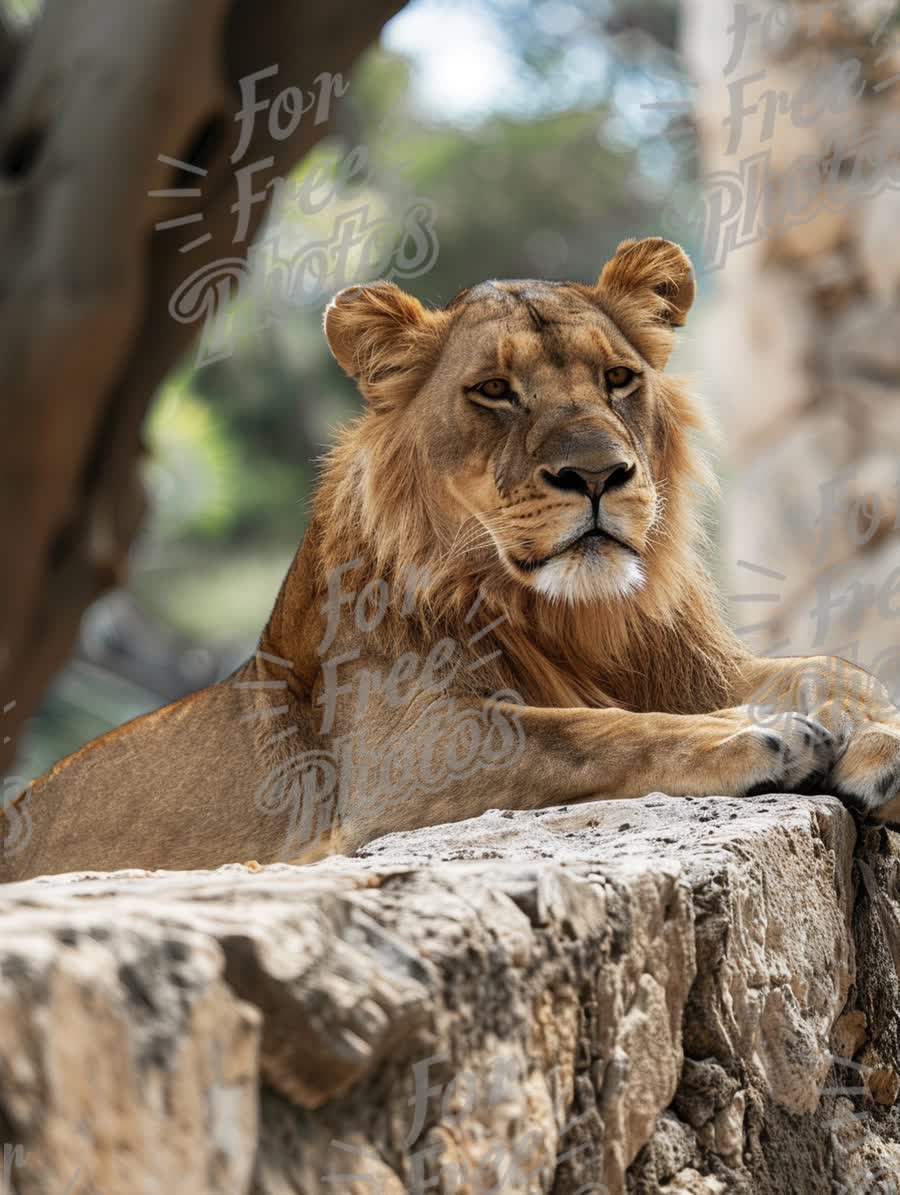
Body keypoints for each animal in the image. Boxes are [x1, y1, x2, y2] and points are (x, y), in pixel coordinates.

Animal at [1, 237, 898, 884]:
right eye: (495, 390)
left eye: (617, 378)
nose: (599, 475)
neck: (572, 619)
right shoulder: (406, 755)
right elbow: (585, 728)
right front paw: (757, 736)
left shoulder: (688, 666)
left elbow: (826, 666)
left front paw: (873, 733)